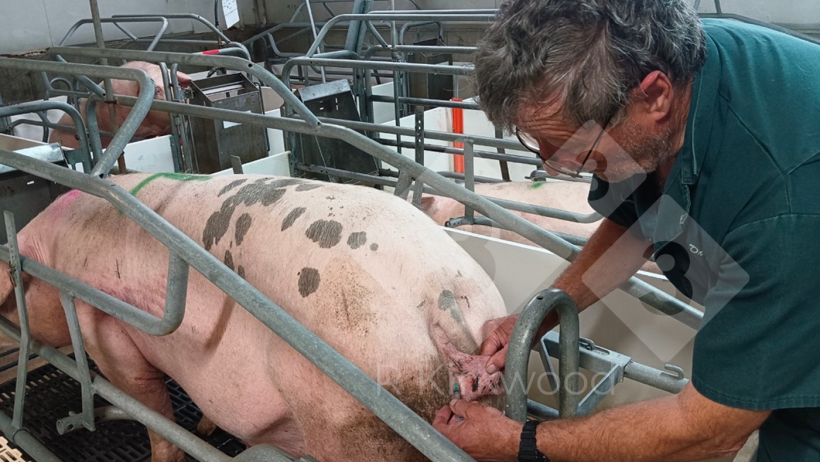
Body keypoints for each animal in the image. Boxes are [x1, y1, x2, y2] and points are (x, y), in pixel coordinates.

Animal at [0, 173, 507, 462]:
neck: (54, 258)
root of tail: (442, 297)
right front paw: (207, 428)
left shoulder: (106, 331)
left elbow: (150, 411)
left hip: (352, 417)